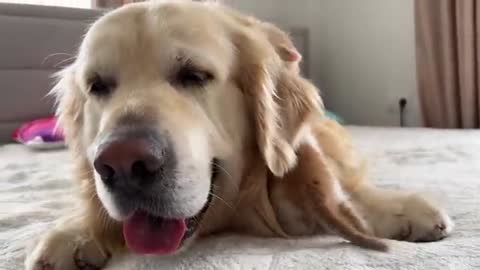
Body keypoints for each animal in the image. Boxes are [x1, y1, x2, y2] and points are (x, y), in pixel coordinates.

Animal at [25, 1, 454, 268]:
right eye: (98, 86)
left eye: (194, 75)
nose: (122, 163)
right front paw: (74, 231)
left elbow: (350, 194)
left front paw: (400, 210)